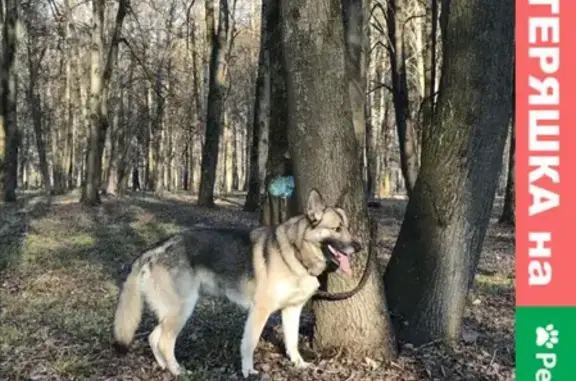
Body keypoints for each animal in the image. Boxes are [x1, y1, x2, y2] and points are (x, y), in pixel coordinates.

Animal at [112, 189, 360, 376]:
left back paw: (165, 367)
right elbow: (249, 343)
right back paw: (177, 371)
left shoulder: (292, 310)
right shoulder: (260, 311)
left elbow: (292, 342)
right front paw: (248, 371)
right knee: (164, 341)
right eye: (337, 228)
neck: (296, 252)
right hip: (182, 309)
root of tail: (157, 248)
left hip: (173, 312)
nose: (358, 247)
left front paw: (298, 364)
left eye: (348, 227)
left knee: (153, 337)